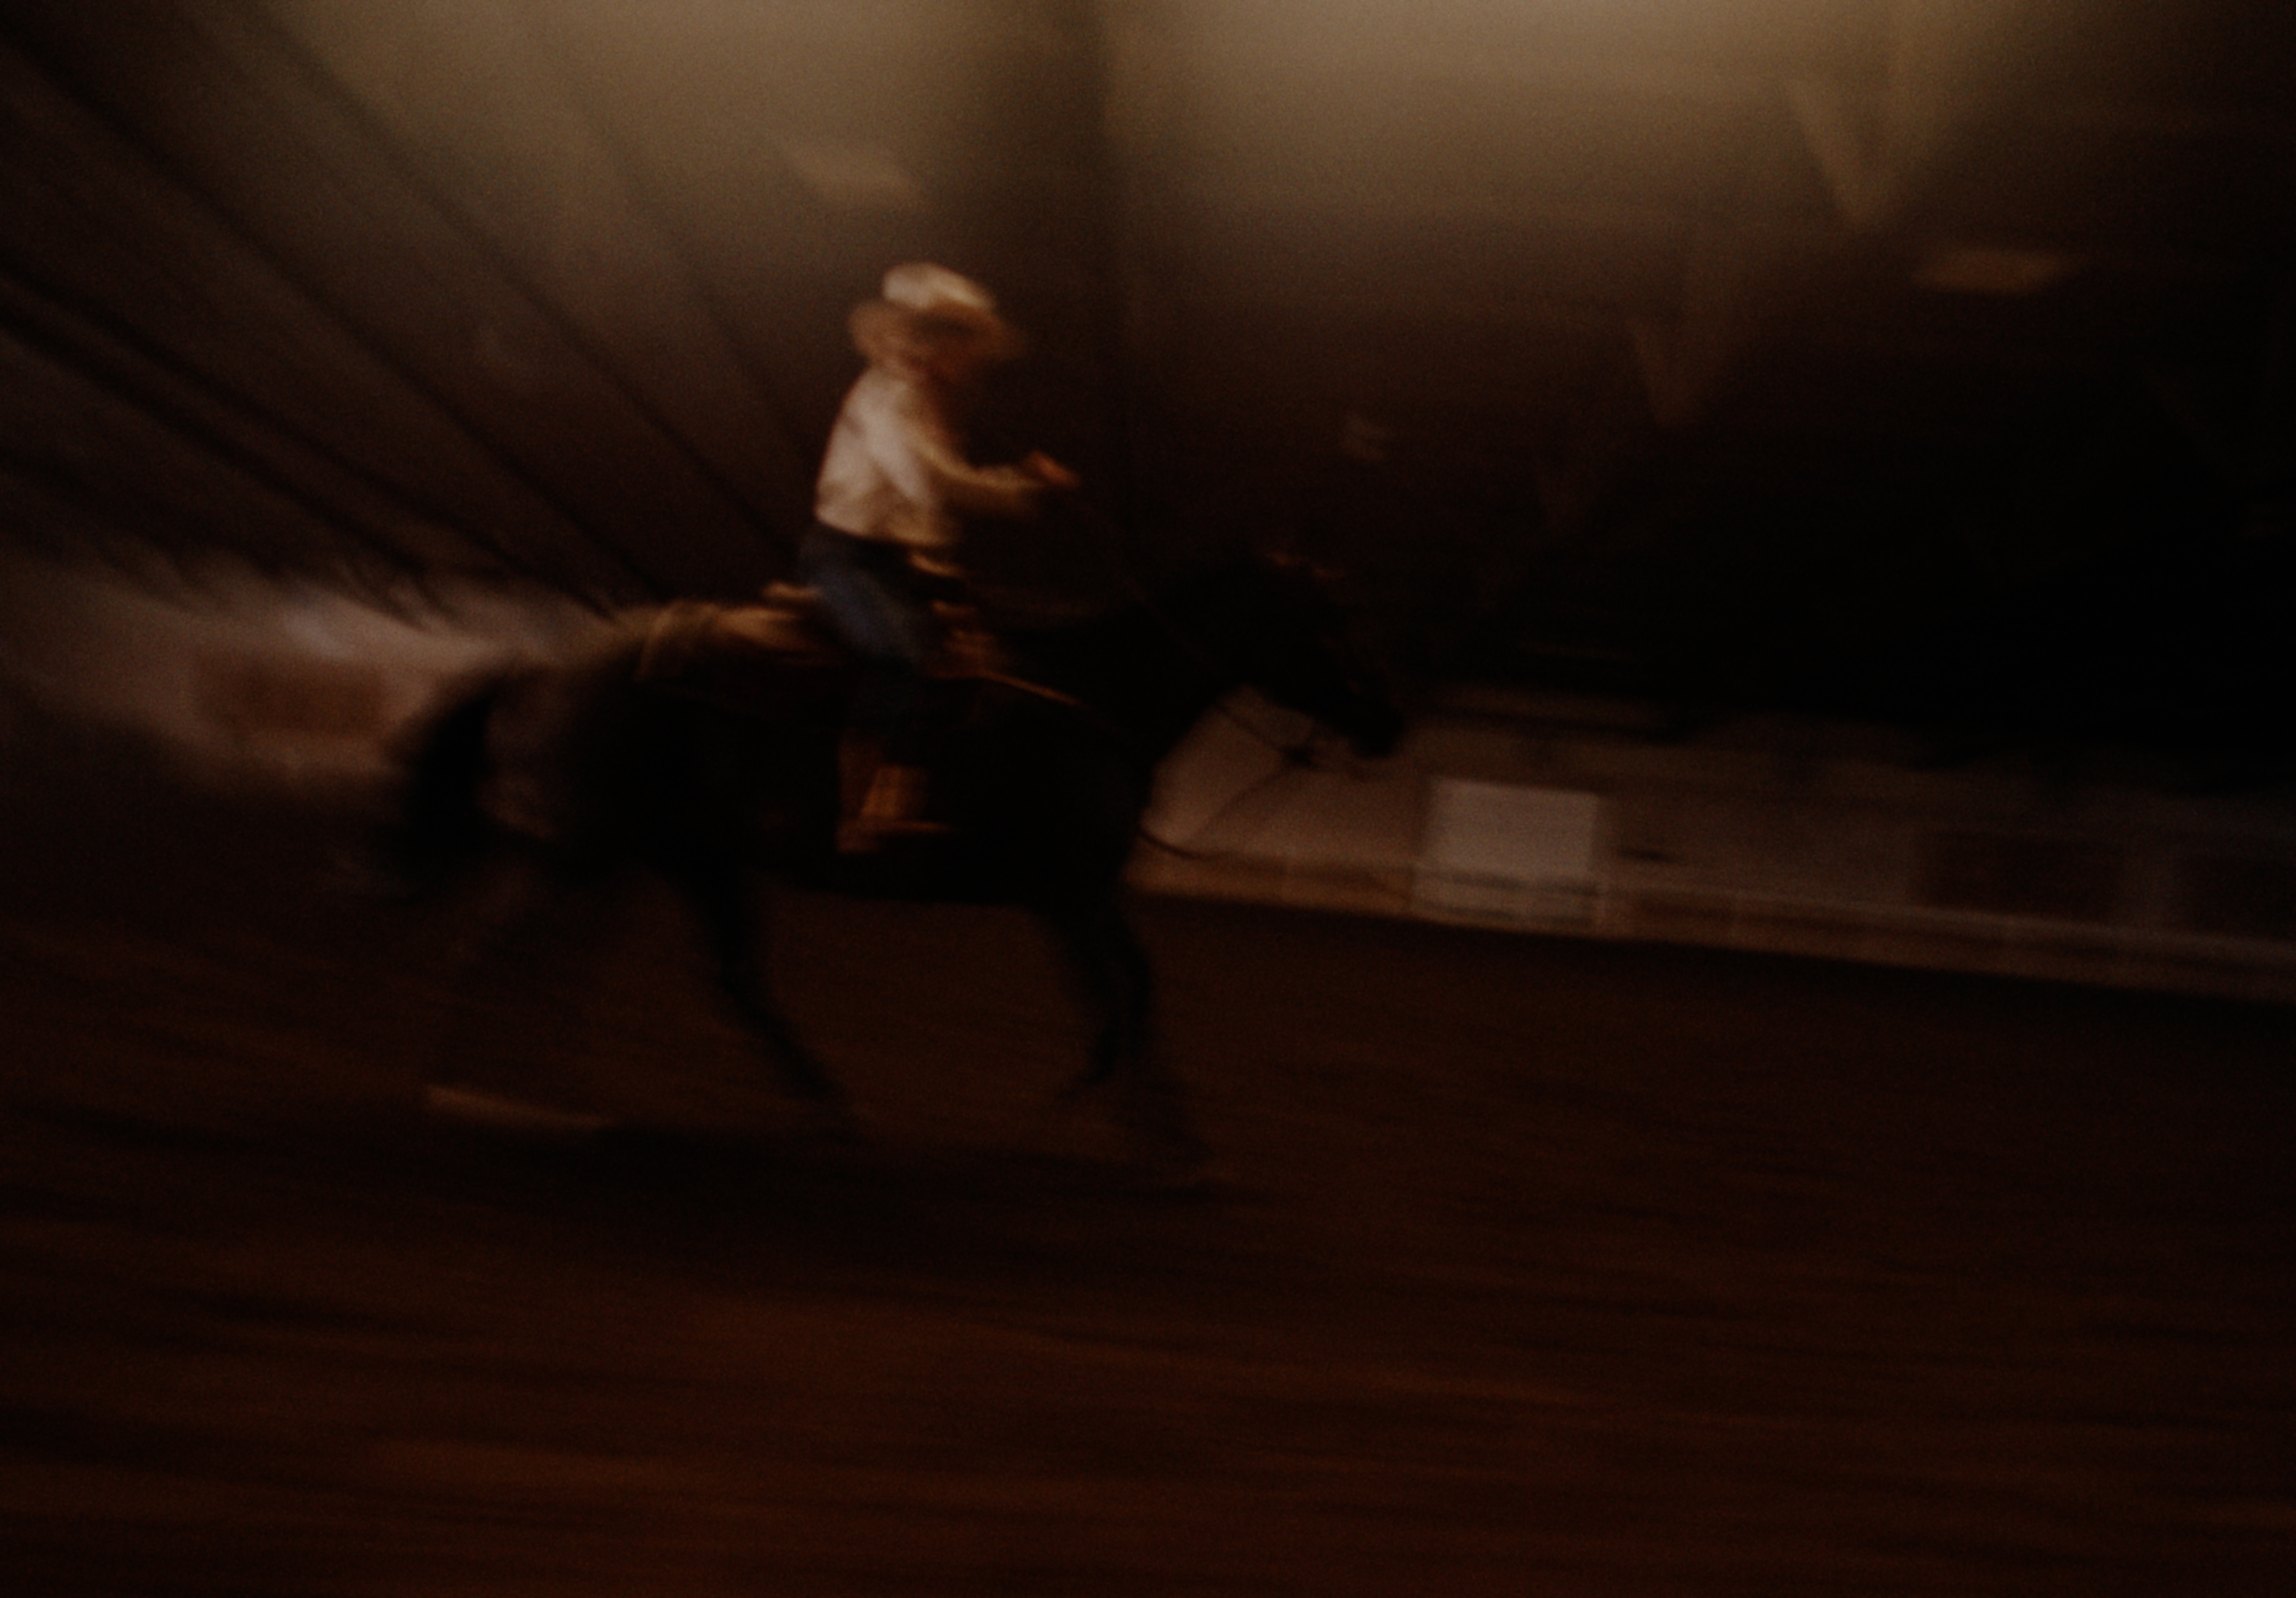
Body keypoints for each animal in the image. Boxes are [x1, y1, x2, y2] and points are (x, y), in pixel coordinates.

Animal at [383, 554, 1403, 1162]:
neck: (1087, 694)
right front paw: (1107, 1119)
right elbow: (1114, 996)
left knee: (666, 972)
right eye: (1333, 622)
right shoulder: (1067, 895)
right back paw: (470, 1096)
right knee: (504, 948)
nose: (1389, 727)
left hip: (667, 857)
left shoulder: (1079, 891)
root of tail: (546, 665)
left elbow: (1136, 988)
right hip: (590, 849)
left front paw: (1148, 1128)